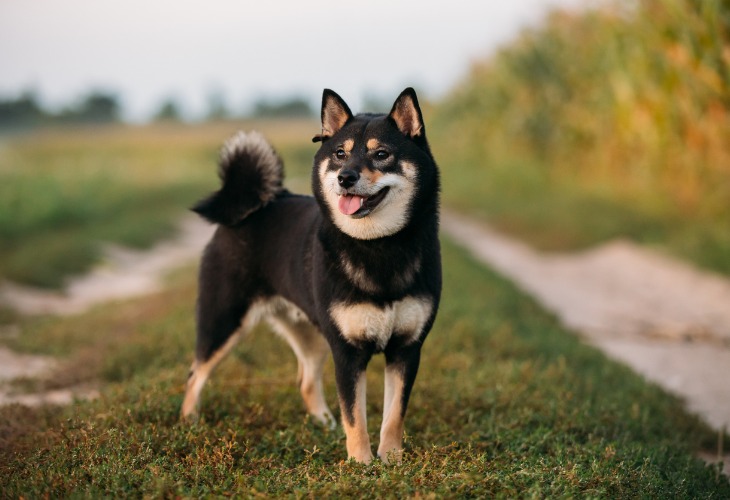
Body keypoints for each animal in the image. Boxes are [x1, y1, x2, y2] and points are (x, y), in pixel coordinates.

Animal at [182, 87, 440, 464]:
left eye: (381, 154)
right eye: (339, 154)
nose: (345, 177)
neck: (378, 246)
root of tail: (254, 206)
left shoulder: (406, 349)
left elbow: (393, 415)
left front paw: (392, 461)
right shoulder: (347, 353)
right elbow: (356, 416)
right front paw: (361, 464)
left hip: (312, 334)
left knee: (305, 381)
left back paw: (323, 423)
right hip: (224, 321)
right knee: (195, 373)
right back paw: (189, 422)